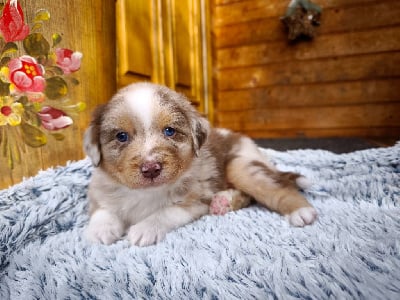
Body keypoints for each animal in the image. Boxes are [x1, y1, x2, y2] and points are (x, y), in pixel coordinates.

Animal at [83, 81, 318, 246]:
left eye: (169, 131)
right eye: (121, 136)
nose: (151, 169)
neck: (146, 193)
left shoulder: (194, 202)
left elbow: (164, 212)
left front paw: (144, 230)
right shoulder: (100, 190)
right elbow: (102, 210)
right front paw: (100, 230)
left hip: (240, 166)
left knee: (277, 187)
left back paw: (301, 211)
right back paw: (223, 201)